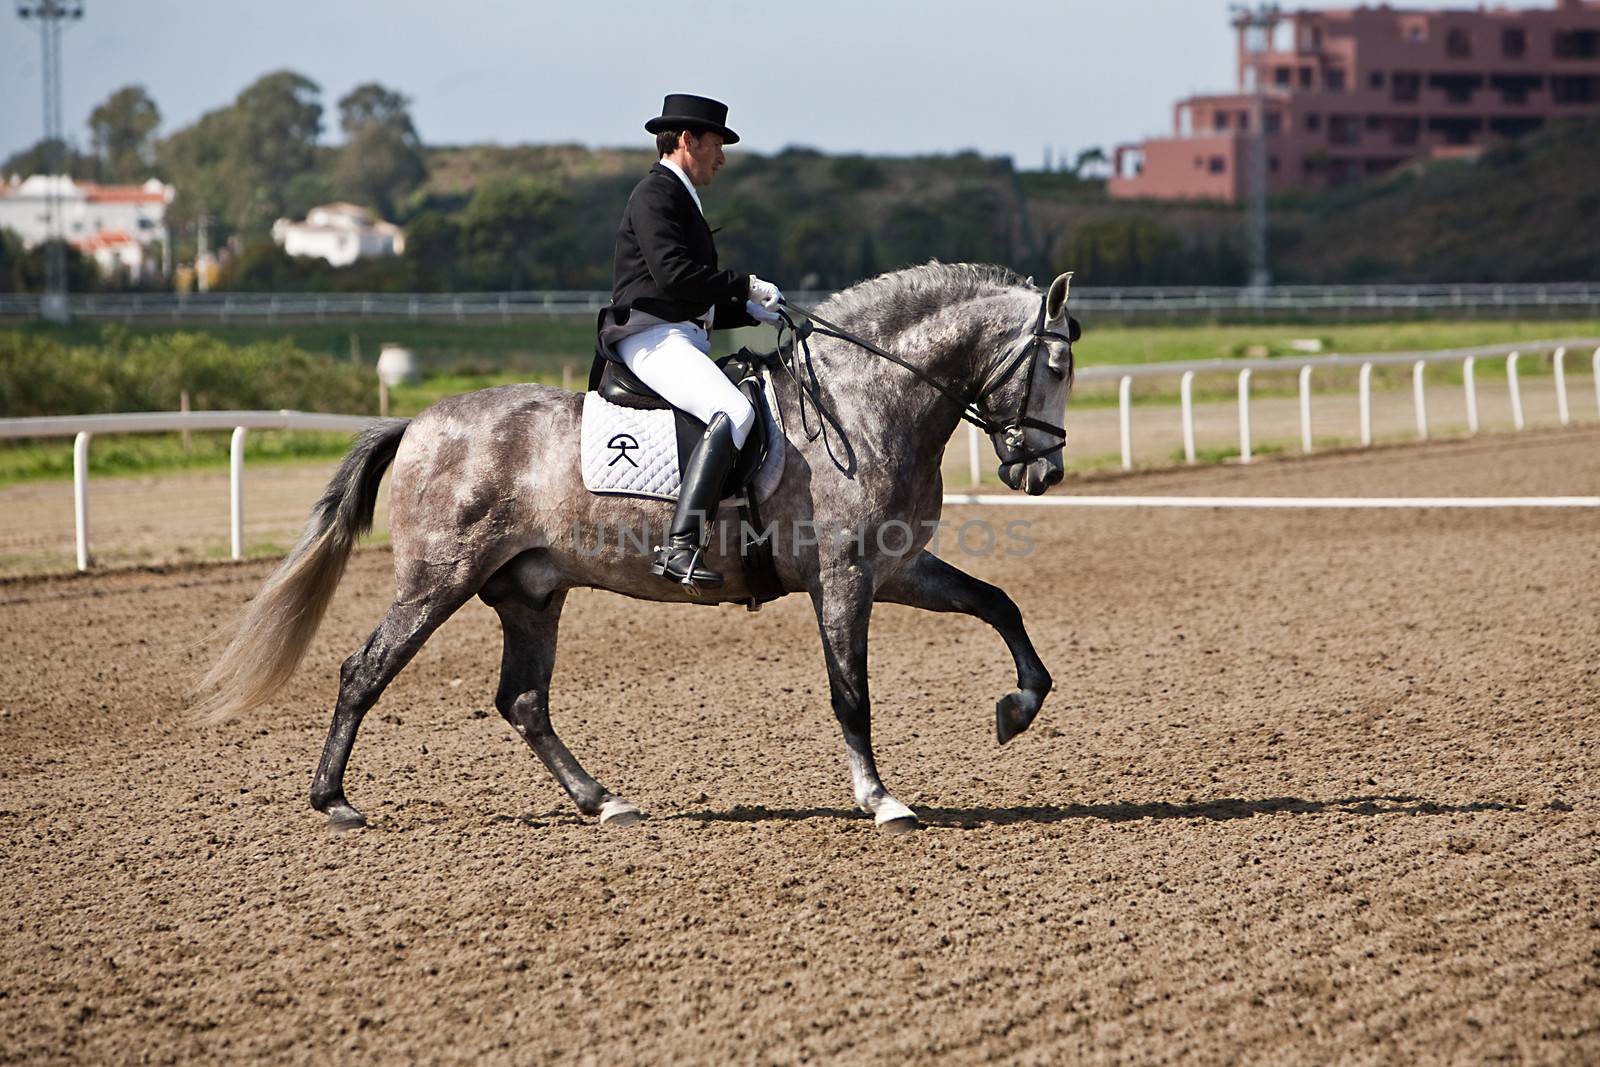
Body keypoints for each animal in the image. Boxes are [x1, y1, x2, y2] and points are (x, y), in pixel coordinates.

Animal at [200, 265, 1075, 831]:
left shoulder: (897, 567)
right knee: (366, 670)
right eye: (1059, 363)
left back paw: (605, 801)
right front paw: (882, 800)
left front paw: (1018, 708)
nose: (1043, 471)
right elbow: (850, 693)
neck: (863, 403)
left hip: (530, 592)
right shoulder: (843, 578)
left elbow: (999, 603)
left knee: (523, 700)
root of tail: (417, 422)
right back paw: (335, 802)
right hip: (436, 581)